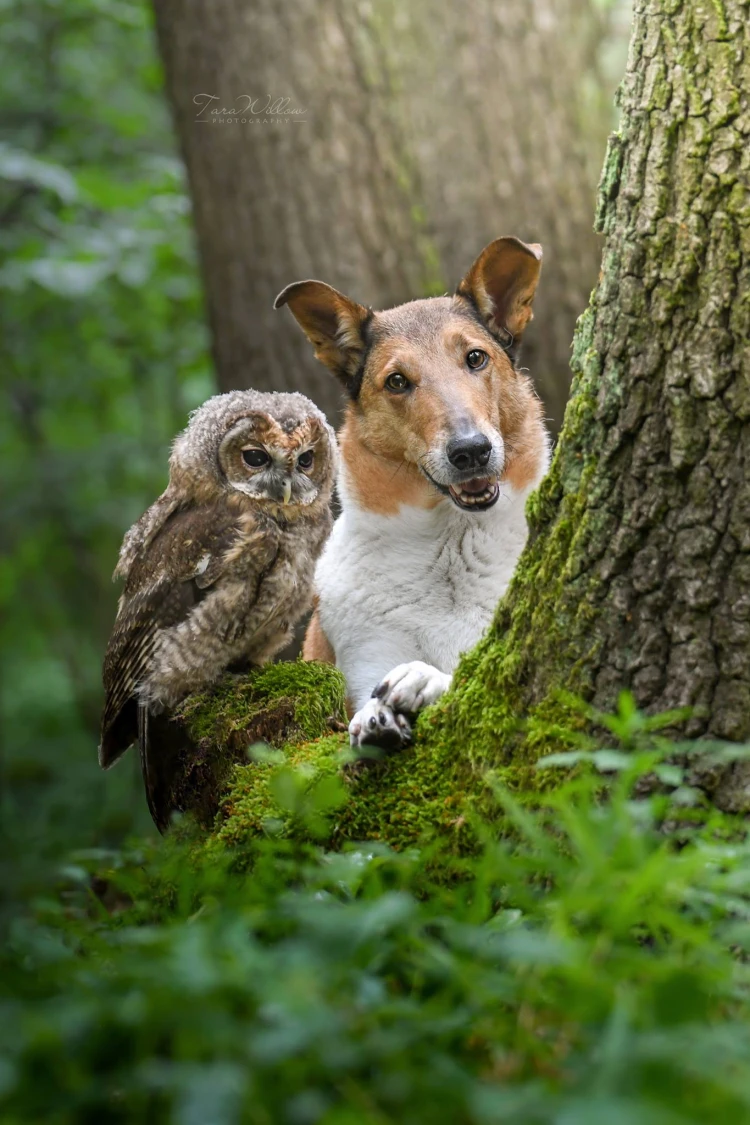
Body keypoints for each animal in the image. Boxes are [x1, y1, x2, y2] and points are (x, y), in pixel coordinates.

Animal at [275, 235, 550, 747]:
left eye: (476, 358)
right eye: (397, 381)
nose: (471, 451)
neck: (452, 542)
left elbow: (463, 678)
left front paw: (423, 677)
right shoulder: (366, 658)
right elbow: (365, 699)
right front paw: (377, 717)